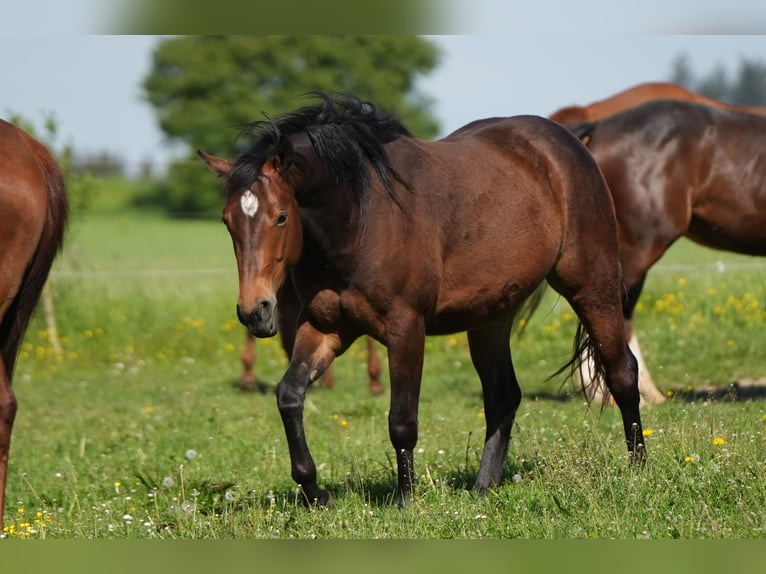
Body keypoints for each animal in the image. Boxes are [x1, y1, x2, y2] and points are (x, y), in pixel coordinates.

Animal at [201, 93, 644, 508]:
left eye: (280, 216)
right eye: (227, 221)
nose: (254, 311)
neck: (359, 220)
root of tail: (570, 144)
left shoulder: (406, 329)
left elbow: (401, 419)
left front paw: (405, 500)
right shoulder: (324, 328)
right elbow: (289, 397)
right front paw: (314, 492)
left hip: (592, 286)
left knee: (622, 371)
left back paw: (637, 469)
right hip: (491, 316)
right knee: (503, 395)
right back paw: (484, 486)